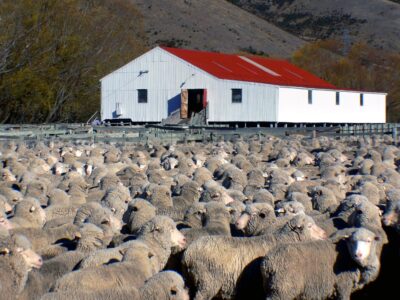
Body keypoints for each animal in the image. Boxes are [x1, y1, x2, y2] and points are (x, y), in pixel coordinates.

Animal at [183, 214, 326, 298]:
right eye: (310, 226)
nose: (325, 234)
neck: (286, 239)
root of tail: (188, 254)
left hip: (191, 282)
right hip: (207, 282)